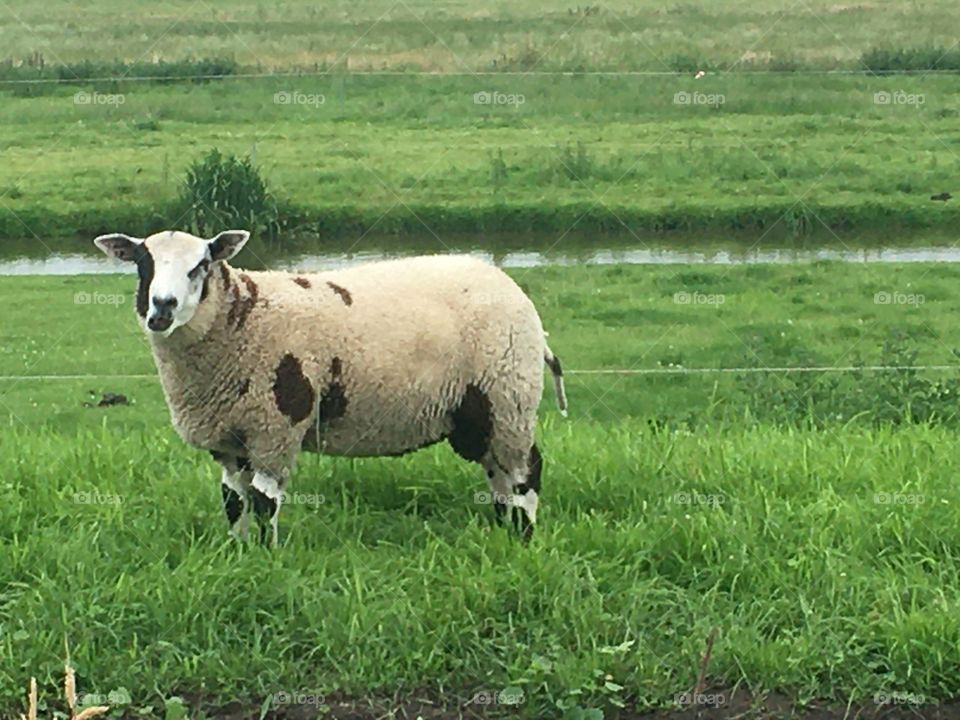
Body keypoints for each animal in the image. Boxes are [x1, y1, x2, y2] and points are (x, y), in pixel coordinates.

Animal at [93, 229, 568, 545]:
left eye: (200, 266)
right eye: (142, 264)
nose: (161, 309)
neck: (243, 317)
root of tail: (518, 296)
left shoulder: (275, 427)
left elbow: (264, 501)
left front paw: (266, 558)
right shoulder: (229, 438)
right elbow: (232, 500)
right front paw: (238, 553)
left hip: (508, 396)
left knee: (525, 472)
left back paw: (524, 537)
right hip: (478, 413)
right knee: (498, 474)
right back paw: (504, 530)